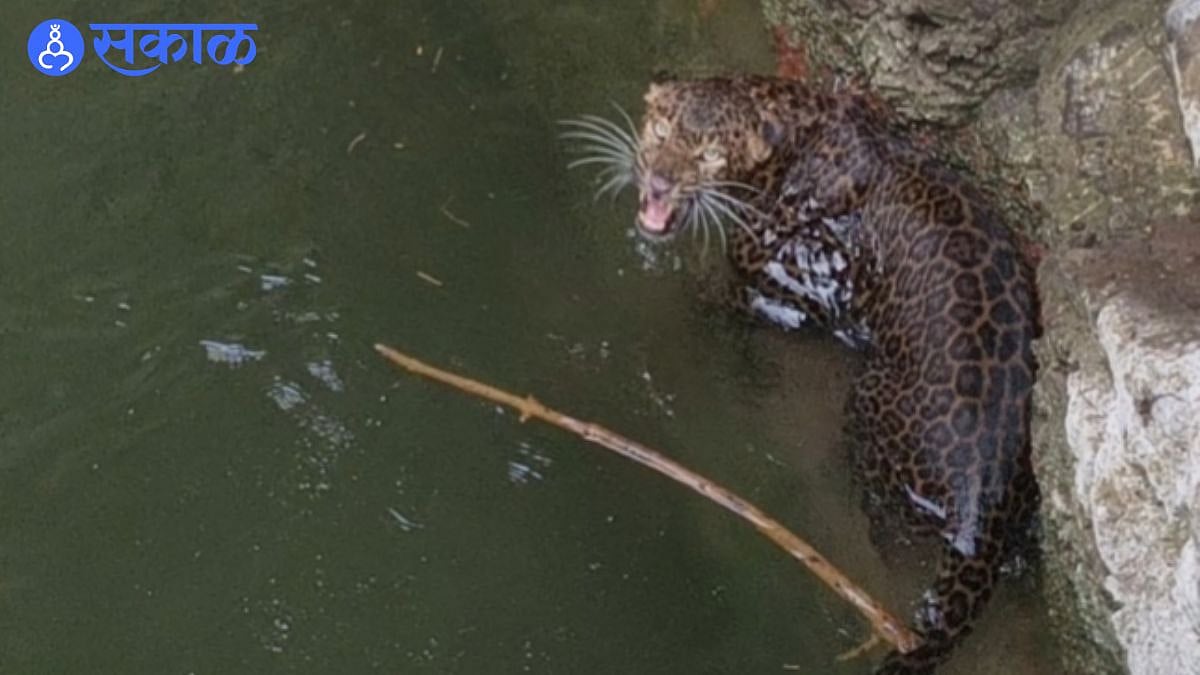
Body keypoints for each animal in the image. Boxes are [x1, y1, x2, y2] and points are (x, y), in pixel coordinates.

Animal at [563, 74, 1040, 674]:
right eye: (662, 130)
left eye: (710, 154)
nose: (660, 180)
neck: (793, 133)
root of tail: (981, 503)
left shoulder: (802, 278)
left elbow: (726, 296)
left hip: (868, 399)